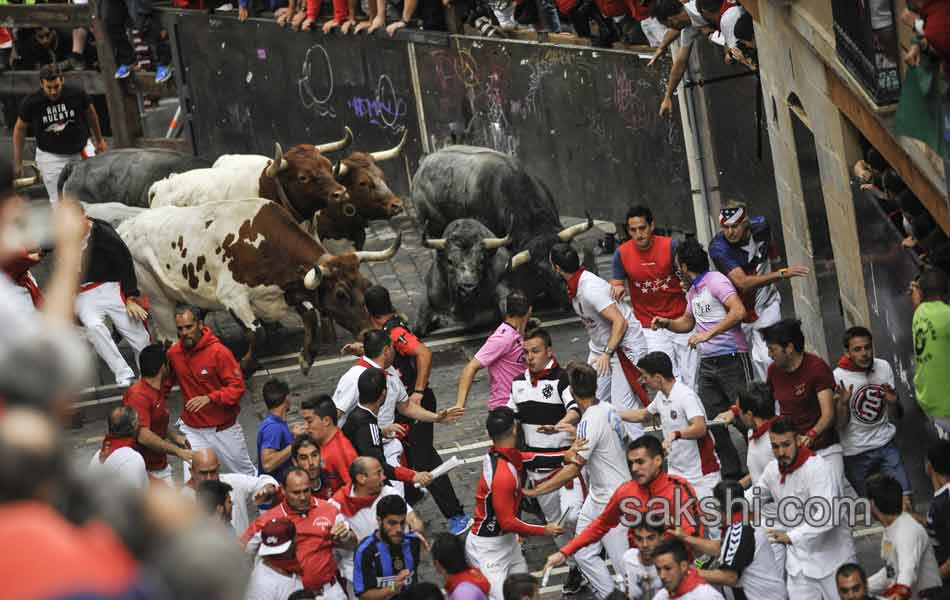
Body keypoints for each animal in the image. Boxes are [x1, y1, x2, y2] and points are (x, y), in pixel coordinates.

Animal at [117, 199, 400, 372]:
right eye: (340, 293)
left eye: (365, 285)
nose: (368, 331)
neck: (265, 243)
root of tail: (125, 226)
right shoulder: (233, 297)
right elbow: (258, 333)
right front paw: (244, 367)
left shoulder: (288, 292)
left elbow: (311, 318)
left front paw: (306, 358)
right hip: (156, 296)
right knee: (168, 338)